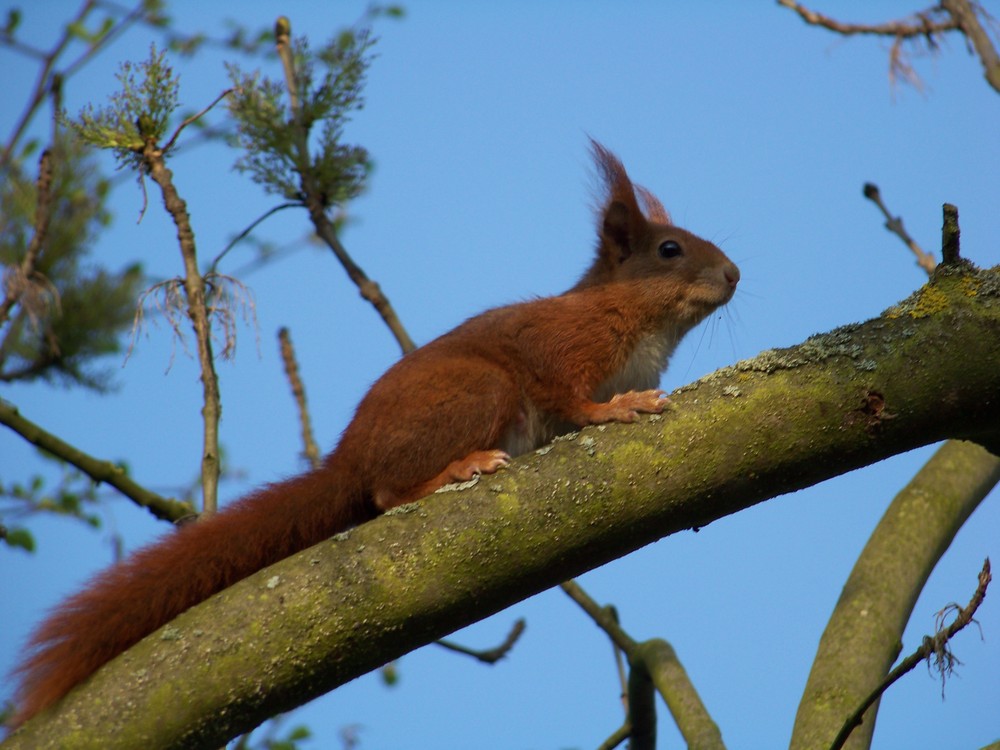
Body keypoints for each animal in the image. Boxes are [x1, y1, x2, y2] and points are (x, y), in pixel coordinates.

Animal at [9, 141, 744, 728]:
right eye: (669, 250)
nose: (735, 273)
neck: (642, 325)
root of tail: (347, 463)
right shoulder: (559, 347)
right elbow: (570, 394)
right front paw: (615, 410)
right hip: (479, 392)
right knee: (389, 494)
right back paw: (455, 470)